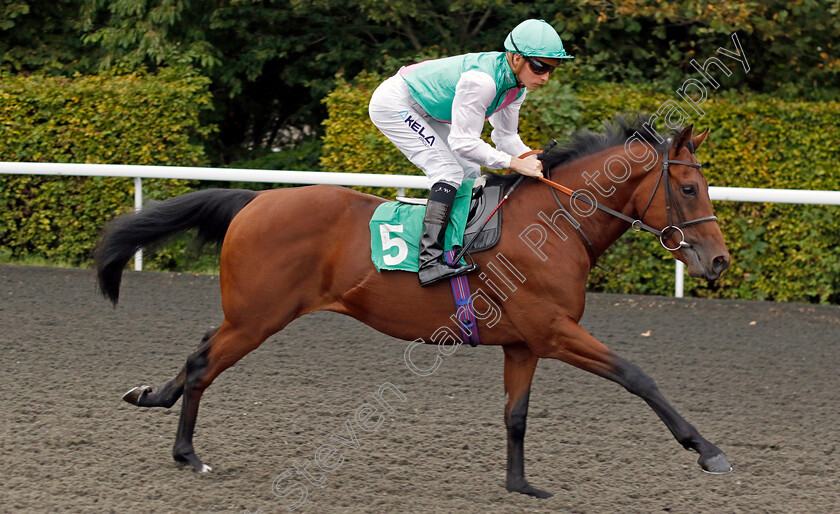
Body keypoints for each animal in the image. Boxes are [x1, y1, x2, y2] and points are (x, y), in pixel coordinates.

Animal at [95, 116, 732, 496]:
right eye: (690, 188)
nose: (720, 261)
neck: (555, 226)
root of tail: (254, 202)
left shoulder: (524, 343)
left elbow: (516, 415)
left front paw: (520, 485)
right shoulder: (554, 331)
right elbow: (637, 376)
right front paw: (708, 451)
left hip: (248, 314)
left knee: (200, 350)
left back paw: (149, 396)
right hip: (258, 317)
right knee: (205, 363)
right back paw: (188, 455)